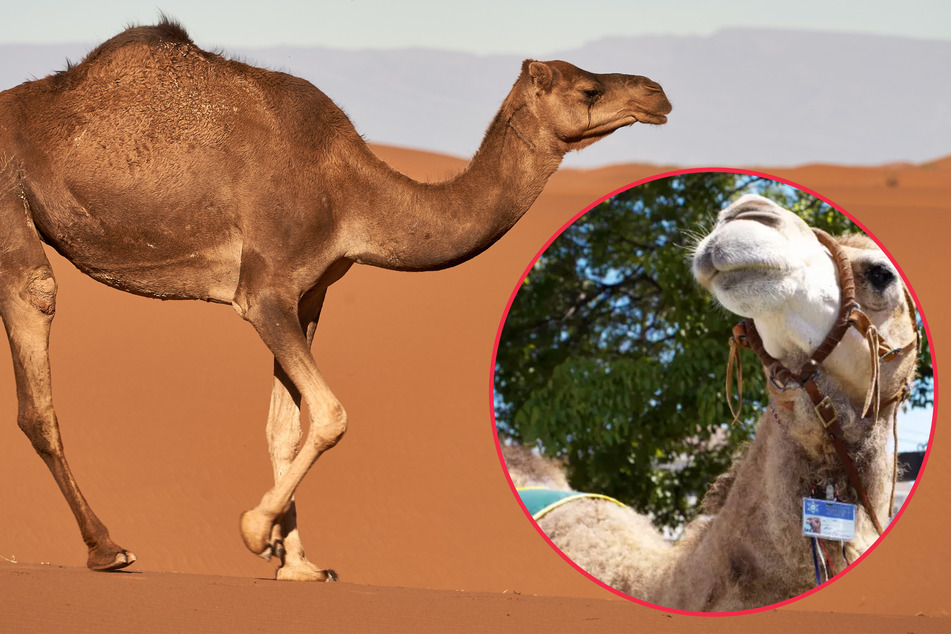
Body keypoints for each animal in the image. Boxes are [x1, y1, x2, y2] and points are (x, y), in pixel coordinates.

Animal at [0, 19, 671, 580]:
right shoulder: (264, 290)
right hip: (11, 210)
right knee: (38, 345)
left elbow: (283, 426)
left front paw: (296, 562)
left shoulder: (310, 295)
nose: (659, 94)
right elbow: (329, 414)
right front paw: (256, 531)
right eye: (589, 89)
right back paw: (107, 548)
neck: (351, 192)